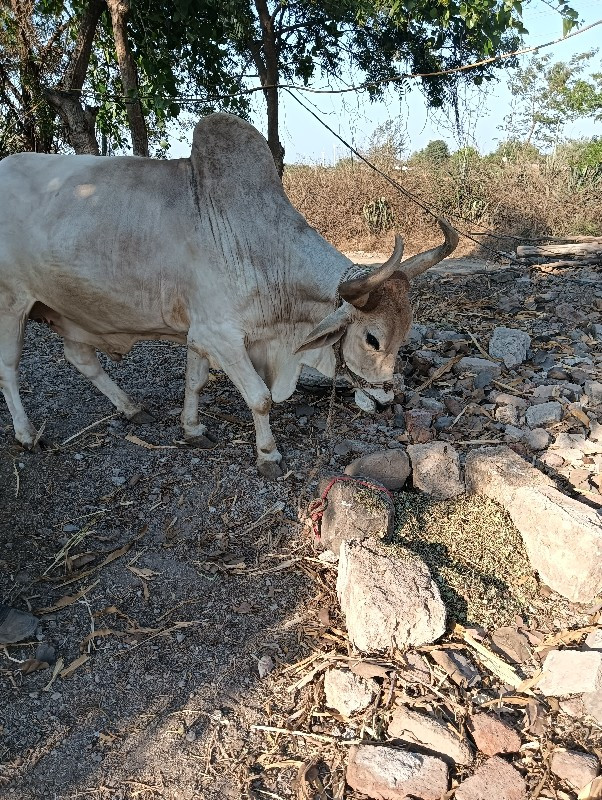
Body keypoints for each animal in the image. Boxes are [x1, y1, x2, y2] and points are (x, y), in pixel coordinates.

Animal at [0, 112, 454, 476]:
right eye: (372, 338)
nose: (386, 400)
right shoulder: (222, 335)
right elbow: (261, 398)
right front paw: (268, 455)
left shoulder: (201, 333)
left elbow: (196, 382)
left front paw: (192, 429)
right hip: (12, 305)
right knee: (9, 369)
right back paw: (27, 435)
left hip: (68, 310)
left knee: (80, 358)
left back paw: (131, 407)